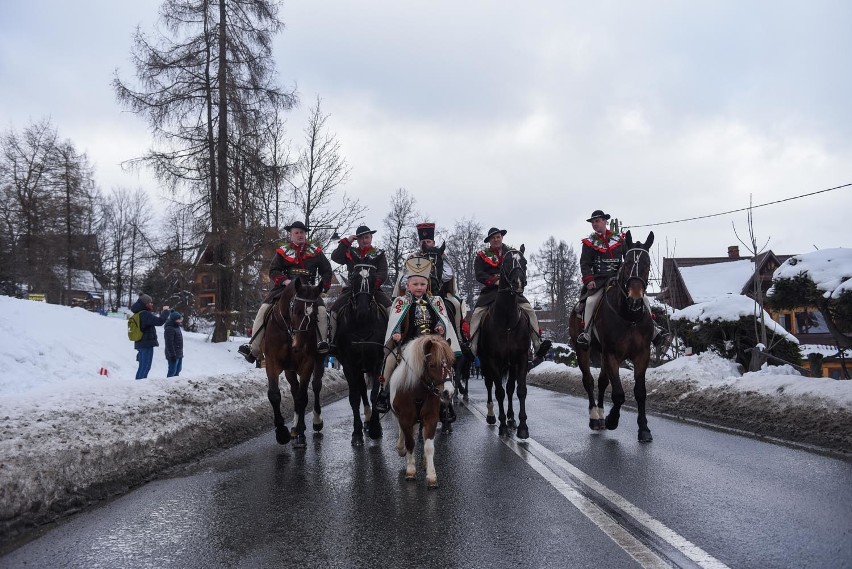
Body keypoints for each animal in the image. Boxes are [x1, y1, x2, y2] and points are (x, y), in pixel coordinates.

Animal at [262, 276, 326, 448]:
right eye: (295, 310)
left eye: (315, 314)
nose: (299, 346)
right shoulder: (272, 362)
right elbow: (274, 395)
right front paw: (282, 432)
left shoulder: (308, 363)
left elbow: (302, 397)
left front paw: (300, 433)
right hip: (289, 370)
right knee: (295, 389)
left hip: (318, 362)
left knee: (315, 386)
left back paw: (314, 422)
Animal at [334, 258, 388, 444]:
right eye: (353, 278)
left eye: (373, 279)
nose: (363, 311)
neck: (363, 325)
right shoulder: (349, 365)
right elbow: (355, 397)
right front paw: (357, 432)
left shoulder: (377, 362)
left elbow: (375, 394)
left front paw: (376, 429)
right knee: (362, 391)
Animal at [390, 332, 456, 488]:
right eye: (432, 365)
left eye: (451, 363)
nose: (448, 393)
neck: (418, 392)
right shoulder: (405, 418)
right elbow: (410, 442)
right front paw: (410, 470)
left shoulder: (430, 418)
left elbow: (429, 446)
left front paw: (431, 476)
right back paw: (402, 450)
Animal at [476, 246, 528, 438]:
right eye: (505, 262)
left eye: (524, 261)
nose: (518, 283)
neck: (506, 322)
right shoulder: (493, 361)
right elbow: (499, 392)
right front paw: (503, 425)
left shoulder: (520, 359)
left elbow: (520, 390)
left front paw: (522, 427)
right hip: (485, 363)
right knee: (490, 385)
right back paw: (493, 416)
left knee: (511, 388)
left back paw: (512, 419)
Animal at [568, 229, 656, 442]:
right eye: (627, 263)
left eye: (647, 263)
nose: (635, 298)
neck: (629, 316)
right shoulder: (612, 355)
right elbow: (618, 394)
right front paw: (612, 420)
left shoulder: (642, 355)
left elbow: (640, 392)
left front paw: (644, 428)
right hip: (582, 350)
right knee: (589, 381)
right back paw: (595, 417)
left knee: (601, 382)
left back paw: (600, 415)